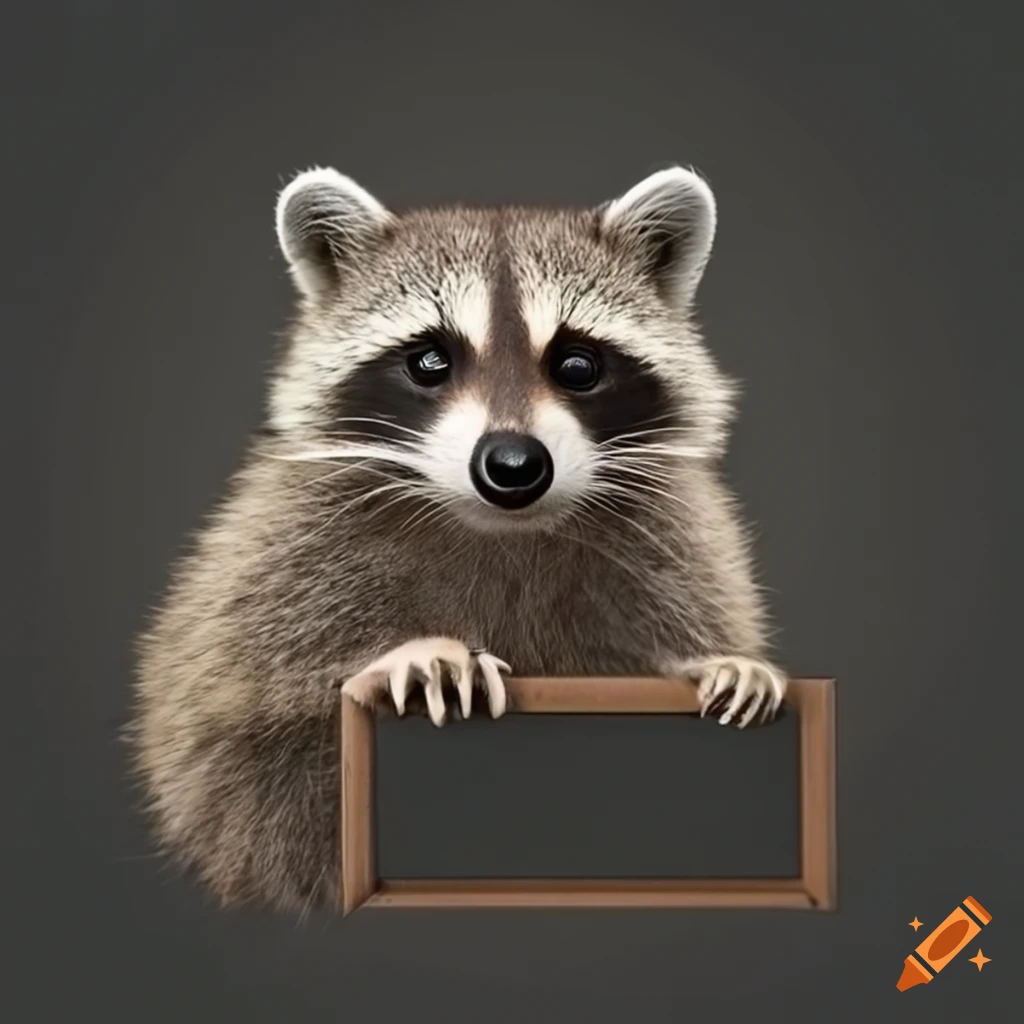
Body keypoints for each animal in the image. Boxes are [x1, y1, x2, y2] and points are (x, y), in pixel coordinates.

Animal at [131, 166, 787, 913]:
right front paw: (405, 657)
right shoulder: (279, 554)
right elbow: (226, 740)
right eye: (428, 361)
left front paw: (706, 662)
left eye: (578, 365)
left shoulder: (675, 546)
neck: (498, 527)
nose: (514, 465)